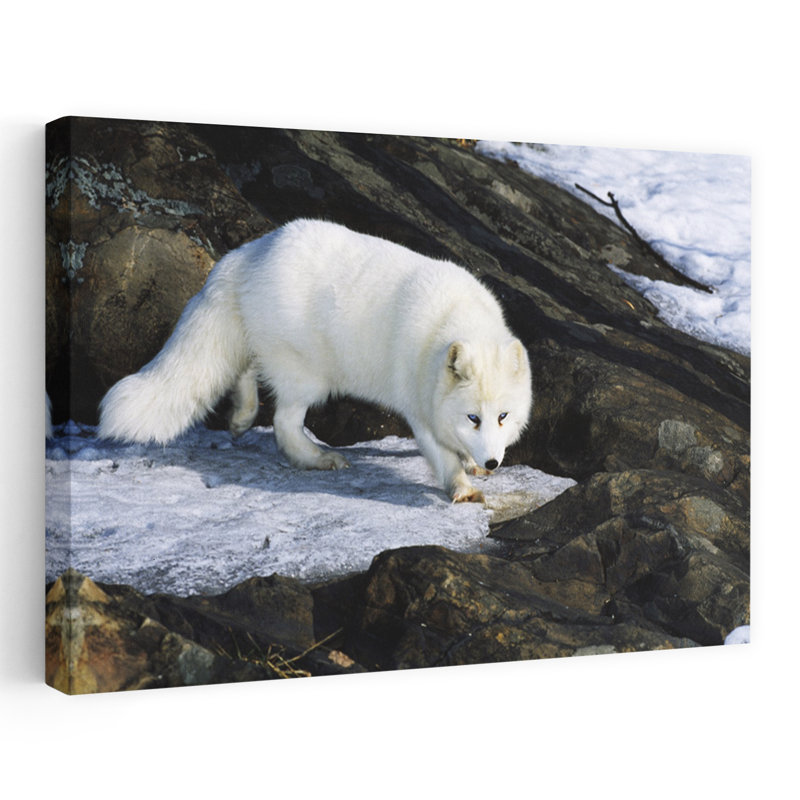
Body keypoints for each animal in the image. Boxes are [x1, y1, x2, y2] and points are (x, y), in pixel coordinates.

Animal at [98, 219, 533, 502]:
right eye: (473, 417)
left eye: (502, 417)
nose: (493, 462)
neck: (454, 319)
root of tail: (247, 253)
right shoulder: (417, 404)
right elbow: (440, 454)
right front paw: (462, 486)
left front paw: (471, 465)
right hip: (308, 375)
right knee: (282, 422)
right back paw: (319, 458)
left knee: (247, 369)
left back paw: (241, 416)